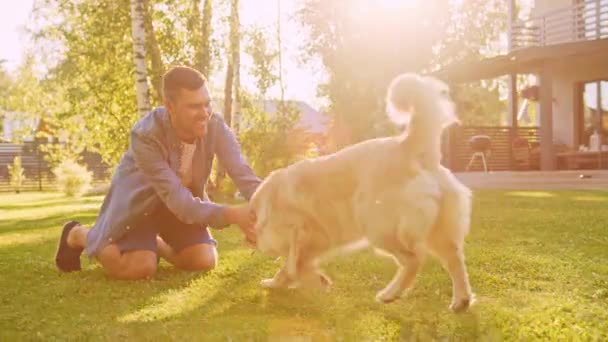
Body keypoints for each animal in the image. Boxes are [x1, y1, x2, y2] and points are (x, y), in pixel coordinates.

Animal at [251, 73, 476, 312]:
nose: (255, 242)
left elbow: (292, 263)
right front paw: (306, 280)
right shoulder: (316, 239)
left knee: (414, 259)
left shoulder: (305, 233)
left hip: (378, 227)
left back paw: (390, 294)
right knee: (454, 259)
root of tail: (407, 145)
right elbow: (295, 264)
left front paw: (298, 281)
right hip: (437, 231)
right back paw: (461, 300)